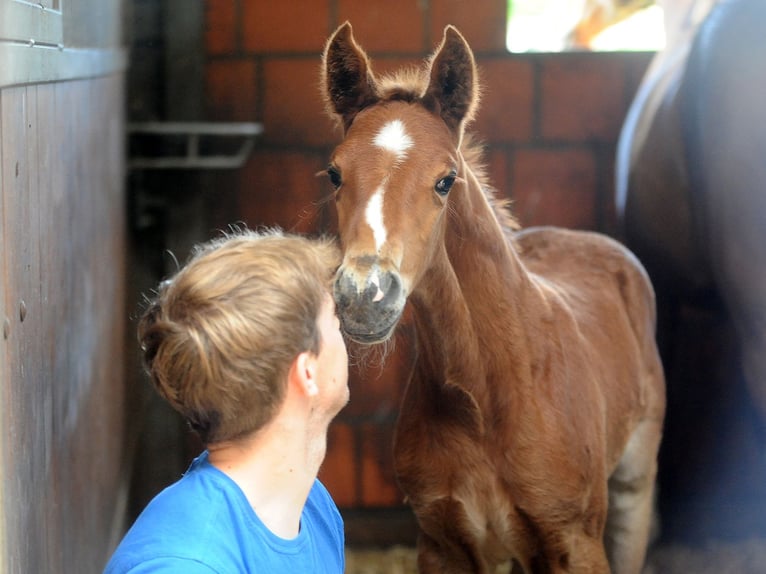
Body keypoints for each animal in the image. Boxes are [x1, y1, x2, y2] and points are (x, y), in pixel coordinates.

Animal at [322, 21, 664, 572]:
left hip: (634, 482)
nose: (364, 296)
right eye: (335, 174)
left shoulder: (576, 542)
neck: (485, 401)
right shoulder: (443, 544)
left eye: (445, 180)